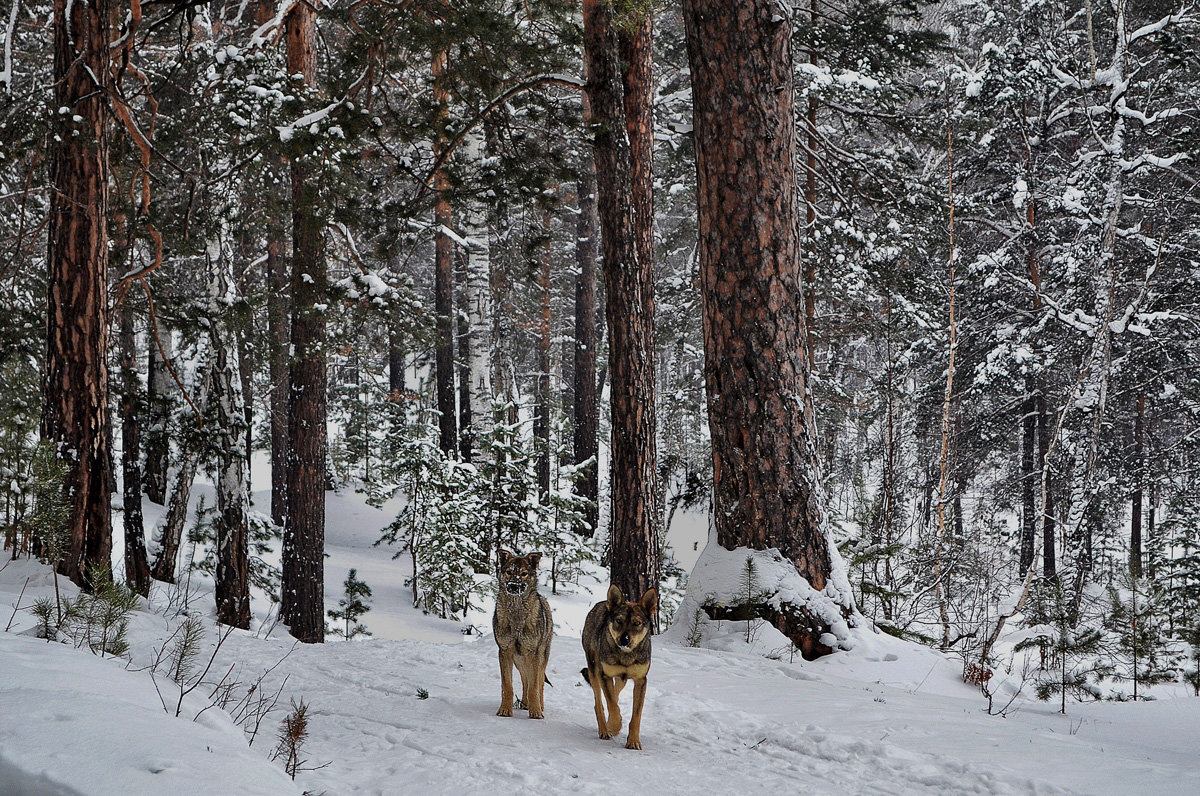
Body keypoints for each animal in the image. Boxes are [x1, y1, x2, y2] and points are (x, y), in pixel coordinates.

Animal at [492, 552, 552, 720]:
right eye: (509, 572)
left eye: (524, 573)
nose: (513, 585)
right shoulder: (505, 652)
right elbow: (508, 686)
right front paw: (505, 710)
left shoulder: (534, 654)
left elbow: (534, 686)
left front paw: (536, 711)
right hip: (519, 660)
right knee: (525, 680)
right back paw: (525, 703)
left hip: (539, 658)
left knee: (539, 682)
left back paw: (539, 705)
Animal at [578, 585, 657, 749]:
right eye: (619, 621)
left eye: (636, 623)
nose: (624, 640)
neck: (625, 655)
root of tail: (602, 603)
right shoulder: (605, 675)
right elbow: (612, 706)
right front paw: (614, 726)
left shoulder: (641, 680)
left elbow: (636, 716)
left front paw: (633, 741)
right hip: (594, 670)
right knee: (599, 703)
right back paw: (604, 729)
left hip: (622, 680)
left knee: (615, 694)